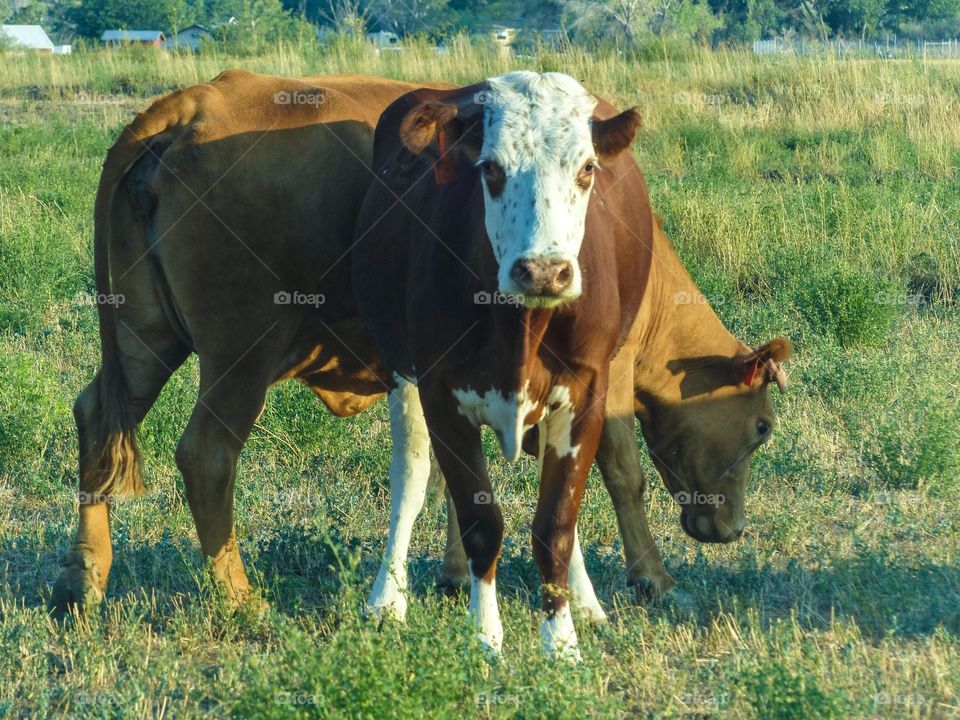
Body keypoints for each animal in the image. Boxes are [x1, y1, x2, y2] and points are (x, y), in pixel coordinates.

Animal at [352, 74, 644, 660]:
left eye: (587, 168)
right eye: (490, 168)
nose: (544, 270)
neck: (522, 326)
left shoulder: (587, 394)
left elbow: (556, 524)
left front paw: (561, 641)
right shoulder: (439, 392)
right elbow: (480, 520)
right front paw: (485, 635)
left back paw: (585, 602)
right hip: (403, 376)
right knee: (410, 480)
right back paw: (387, 599)